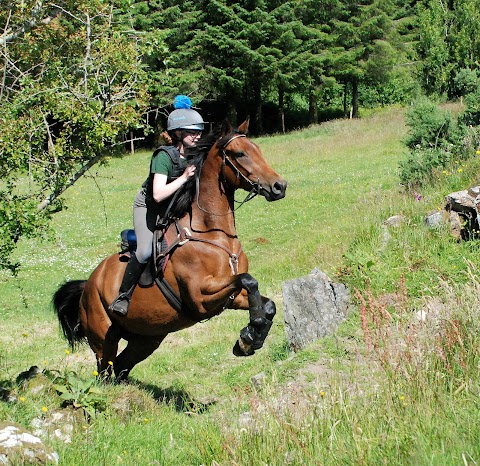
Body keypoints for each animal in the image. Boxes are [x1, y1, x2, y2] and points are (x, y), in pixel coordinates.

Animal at [52, 119, 284, 382]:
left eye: (258, 149)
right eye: (240, 153)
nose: (280, 186)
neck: (212, 234)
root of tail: (88, 283)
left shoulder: (231, 297)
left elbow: (266, 303)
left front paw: (248, 338)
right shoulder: (201, 298)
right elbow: (248, 279)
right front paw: (251, 332)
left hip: (147, 338)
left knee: (121, 367)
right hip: (103, 338)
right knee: (105, 371)